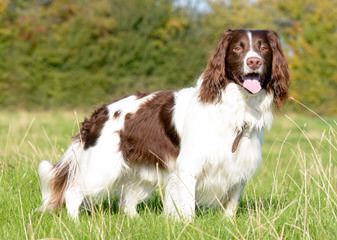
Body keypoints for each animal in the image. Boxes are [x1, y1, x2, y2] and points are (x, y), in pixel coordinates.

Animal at [37, 29, 288, 220]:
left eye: (263, 48)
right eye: (237, 48)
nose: (253, 61)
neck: (236, 108)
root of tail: (99, 113)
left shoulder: (239, 168)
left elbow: (232, 204)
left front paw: (228, 223)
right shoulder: (188, 168)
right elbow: (187, 207)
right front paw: (188, 226)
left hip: (140, 172)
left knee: (127, 203)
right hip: (101, 168)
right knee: (73, 192)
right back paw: (75, 222)